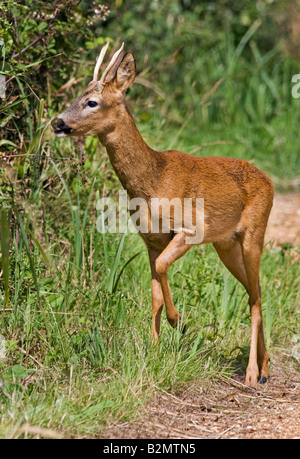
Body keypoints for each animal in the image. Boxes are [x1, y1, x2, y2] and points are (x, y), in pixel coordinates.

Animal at [52, 41, 274, 390]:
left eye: (92, 101)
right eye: (78, 95)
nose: (57, 122)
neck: (153, 182)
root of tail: (269, 180)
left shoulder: (190, 229)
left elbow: (162, 269)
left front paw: (178, 321)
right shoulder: (151, 240)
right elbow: (154, 293)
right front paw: (153, 352)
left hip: (255, 231)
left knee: (255, 298)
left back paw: (252, 373)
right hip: (225, 244)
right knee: (256, 292)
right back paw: (264, 367)